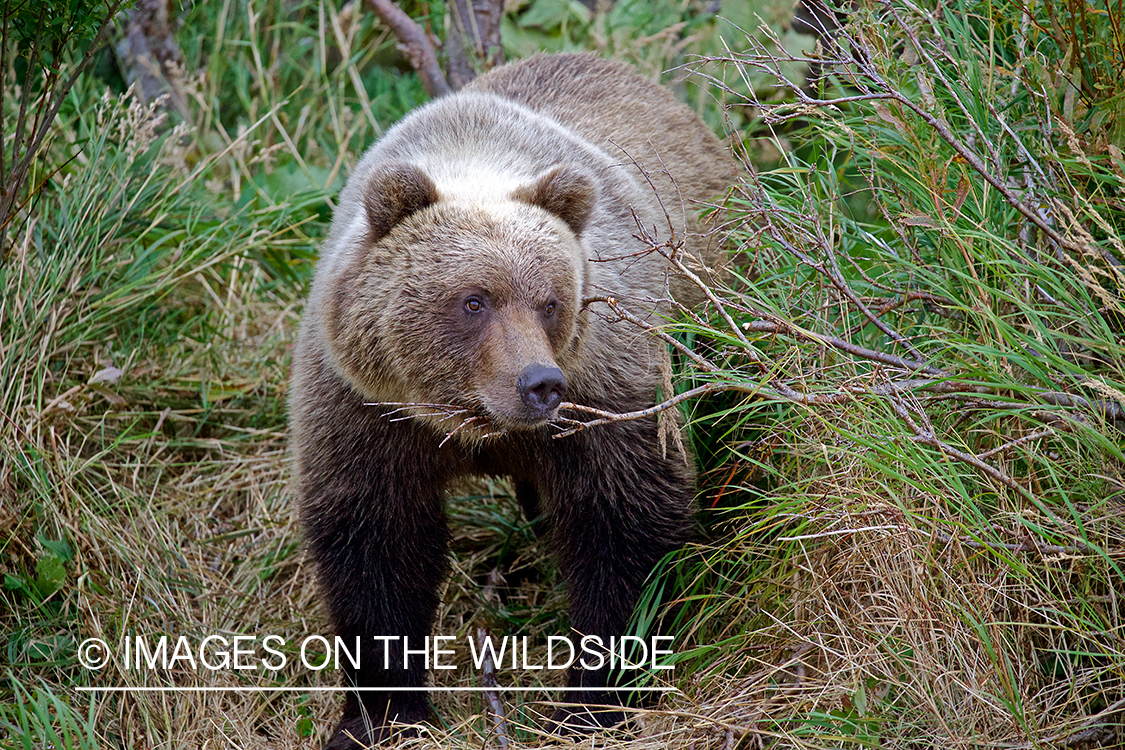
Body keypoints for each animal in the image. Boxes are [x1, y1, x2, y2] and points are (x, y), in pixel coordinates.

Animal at [292, 49, 738, 746]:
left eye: (550, 300)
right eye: (474, 300)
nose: (539, 382)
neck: (473, 423)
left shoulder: (608, 393)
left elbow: (624, 526)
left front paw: (593, 702)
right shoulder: (364, 411)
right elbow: (375, 544)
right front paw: (382, 714)